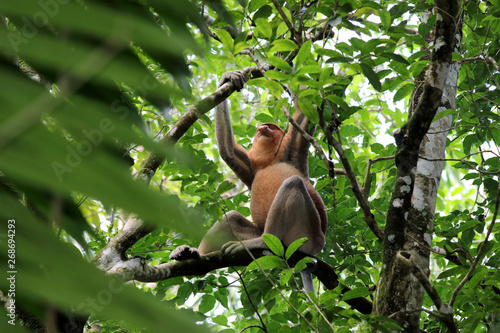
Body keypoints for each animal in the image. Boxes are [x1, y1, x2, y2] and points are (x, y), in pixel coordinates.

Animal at [172, 71, 328, 290]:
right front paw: (229, 78)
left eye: (272, 127)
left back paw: (260, 242)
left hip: (309, 232)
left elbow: (308, 103)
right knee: (230, 218)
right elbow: (228, 151)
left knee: (294, 183)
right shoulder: (253, 168)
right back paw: (190, 253)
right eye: (263, 127)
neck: (271, 160)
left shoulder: (293, 146)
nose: (263, 127)